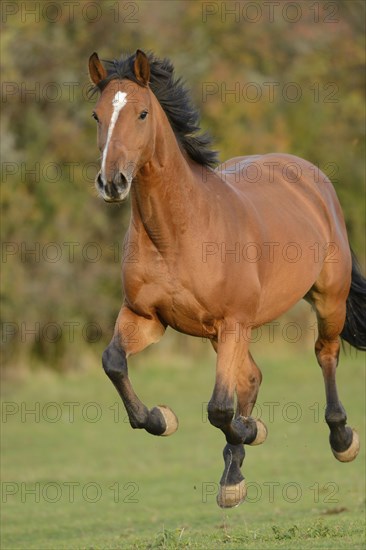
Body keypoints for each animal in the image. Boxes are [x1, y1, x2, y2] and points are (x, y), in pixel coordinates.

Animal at [88, 49, 364, 512]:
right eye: (97, 115)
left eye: (142, 113)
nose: (112, 182)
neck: (178, 232)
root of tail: (307, 174)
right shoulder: (147, 318)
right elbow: (113, 362)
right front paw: (162, 418)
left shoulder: (232, 321)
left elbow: (218, 409)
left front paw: (251, 430)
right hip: (227, 333)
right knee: (250, 377)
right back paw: (233, 476)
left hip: (328, 299)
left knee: (324, 355)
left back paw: (341, 438)